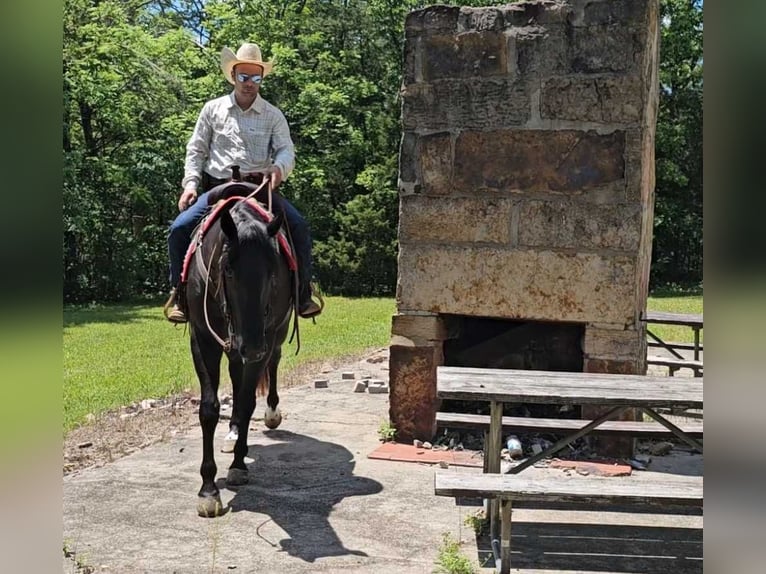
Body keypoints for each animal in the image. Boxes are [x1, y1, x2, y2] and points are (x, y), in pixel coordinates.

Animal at [182, 181, 295, 517]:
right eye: (229, 270)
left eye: (273, 271)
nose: (253, 345)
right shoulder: (203, 340)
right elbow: (209, 409)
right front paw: (208, 489)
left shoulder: (265, 340)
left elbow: (246, 402)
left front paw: (238, 466)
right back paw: (232, 434)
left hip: (275, 336)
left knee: (272, 364)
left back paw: (270, 414)